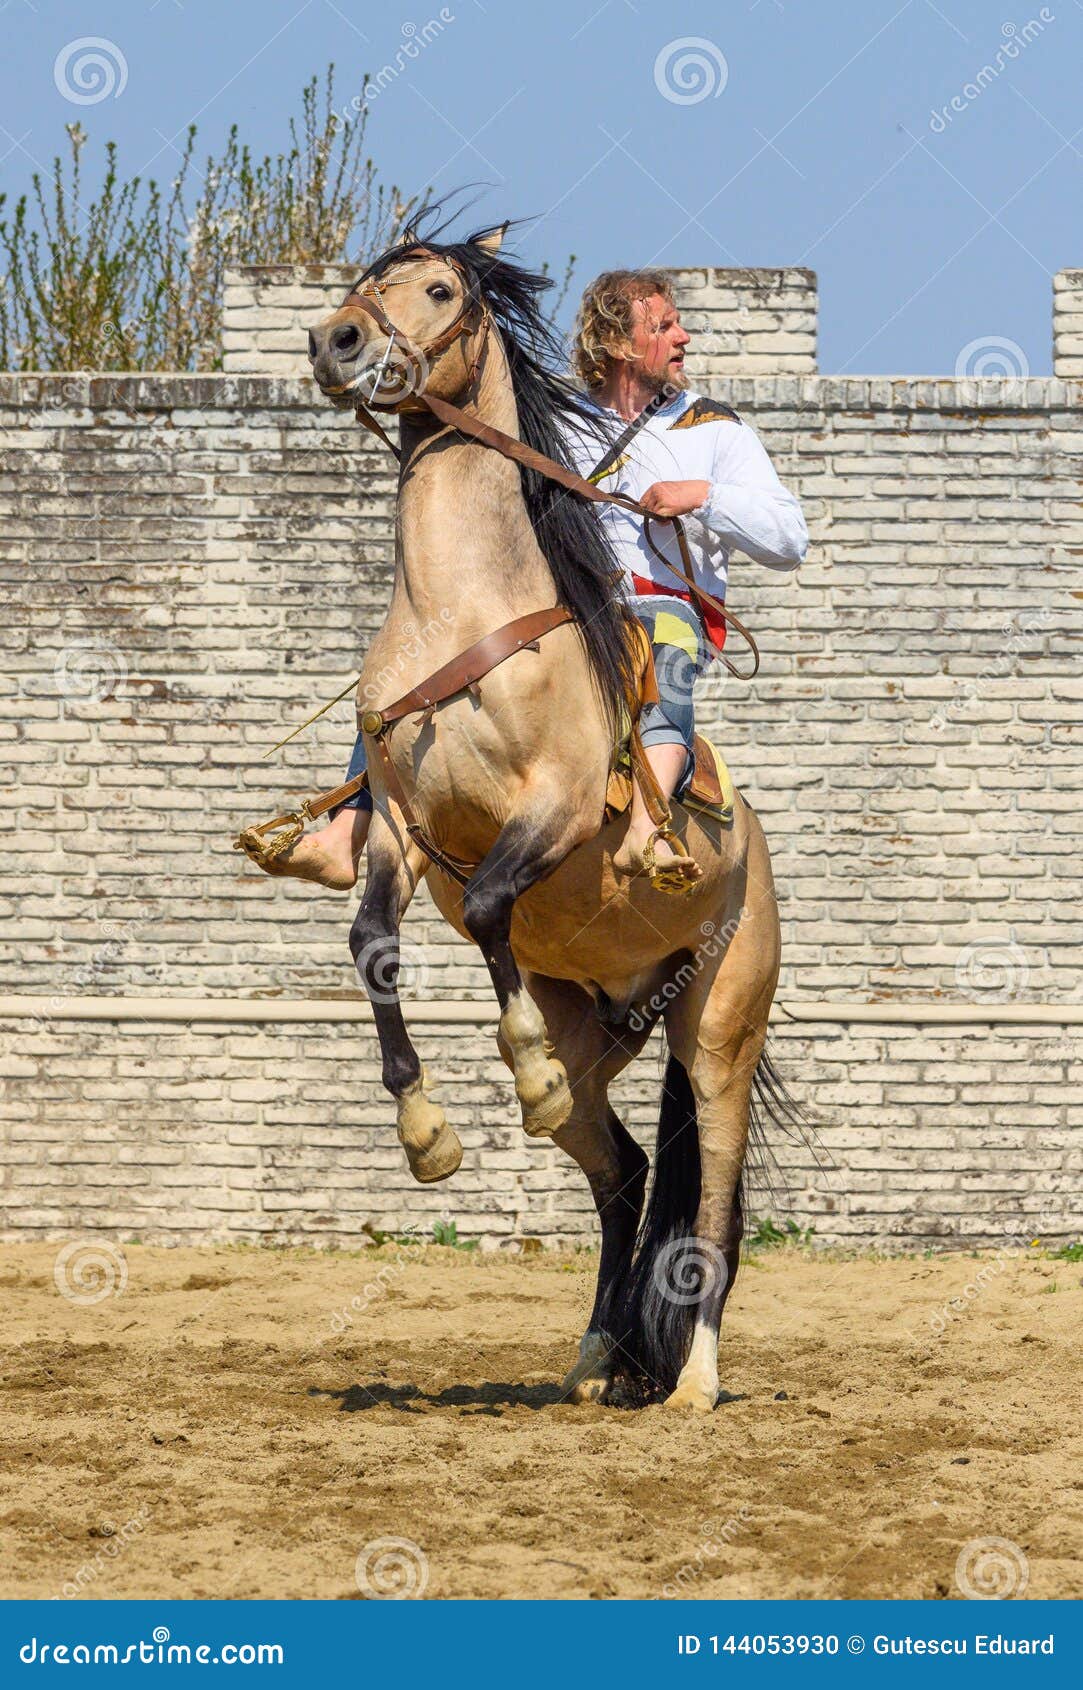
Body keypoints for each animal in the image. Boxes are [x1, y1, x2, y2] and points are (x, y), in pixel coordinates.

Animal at [278, 224, 797, 1412]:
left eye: (436, 289)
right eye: (365, 282)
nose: (337, 341)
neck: (459, 614)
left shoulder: (550, 812)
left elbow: (490, 905)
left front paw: (519, 1065)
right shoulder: (400, 831)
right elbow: (373, 942)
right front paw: (427, 1133)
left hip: (722, 1029)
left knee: (711, 1202)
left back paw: (694, 1380)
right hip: (604, 1024)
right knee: (625, 1173)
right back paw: (599, 1357)